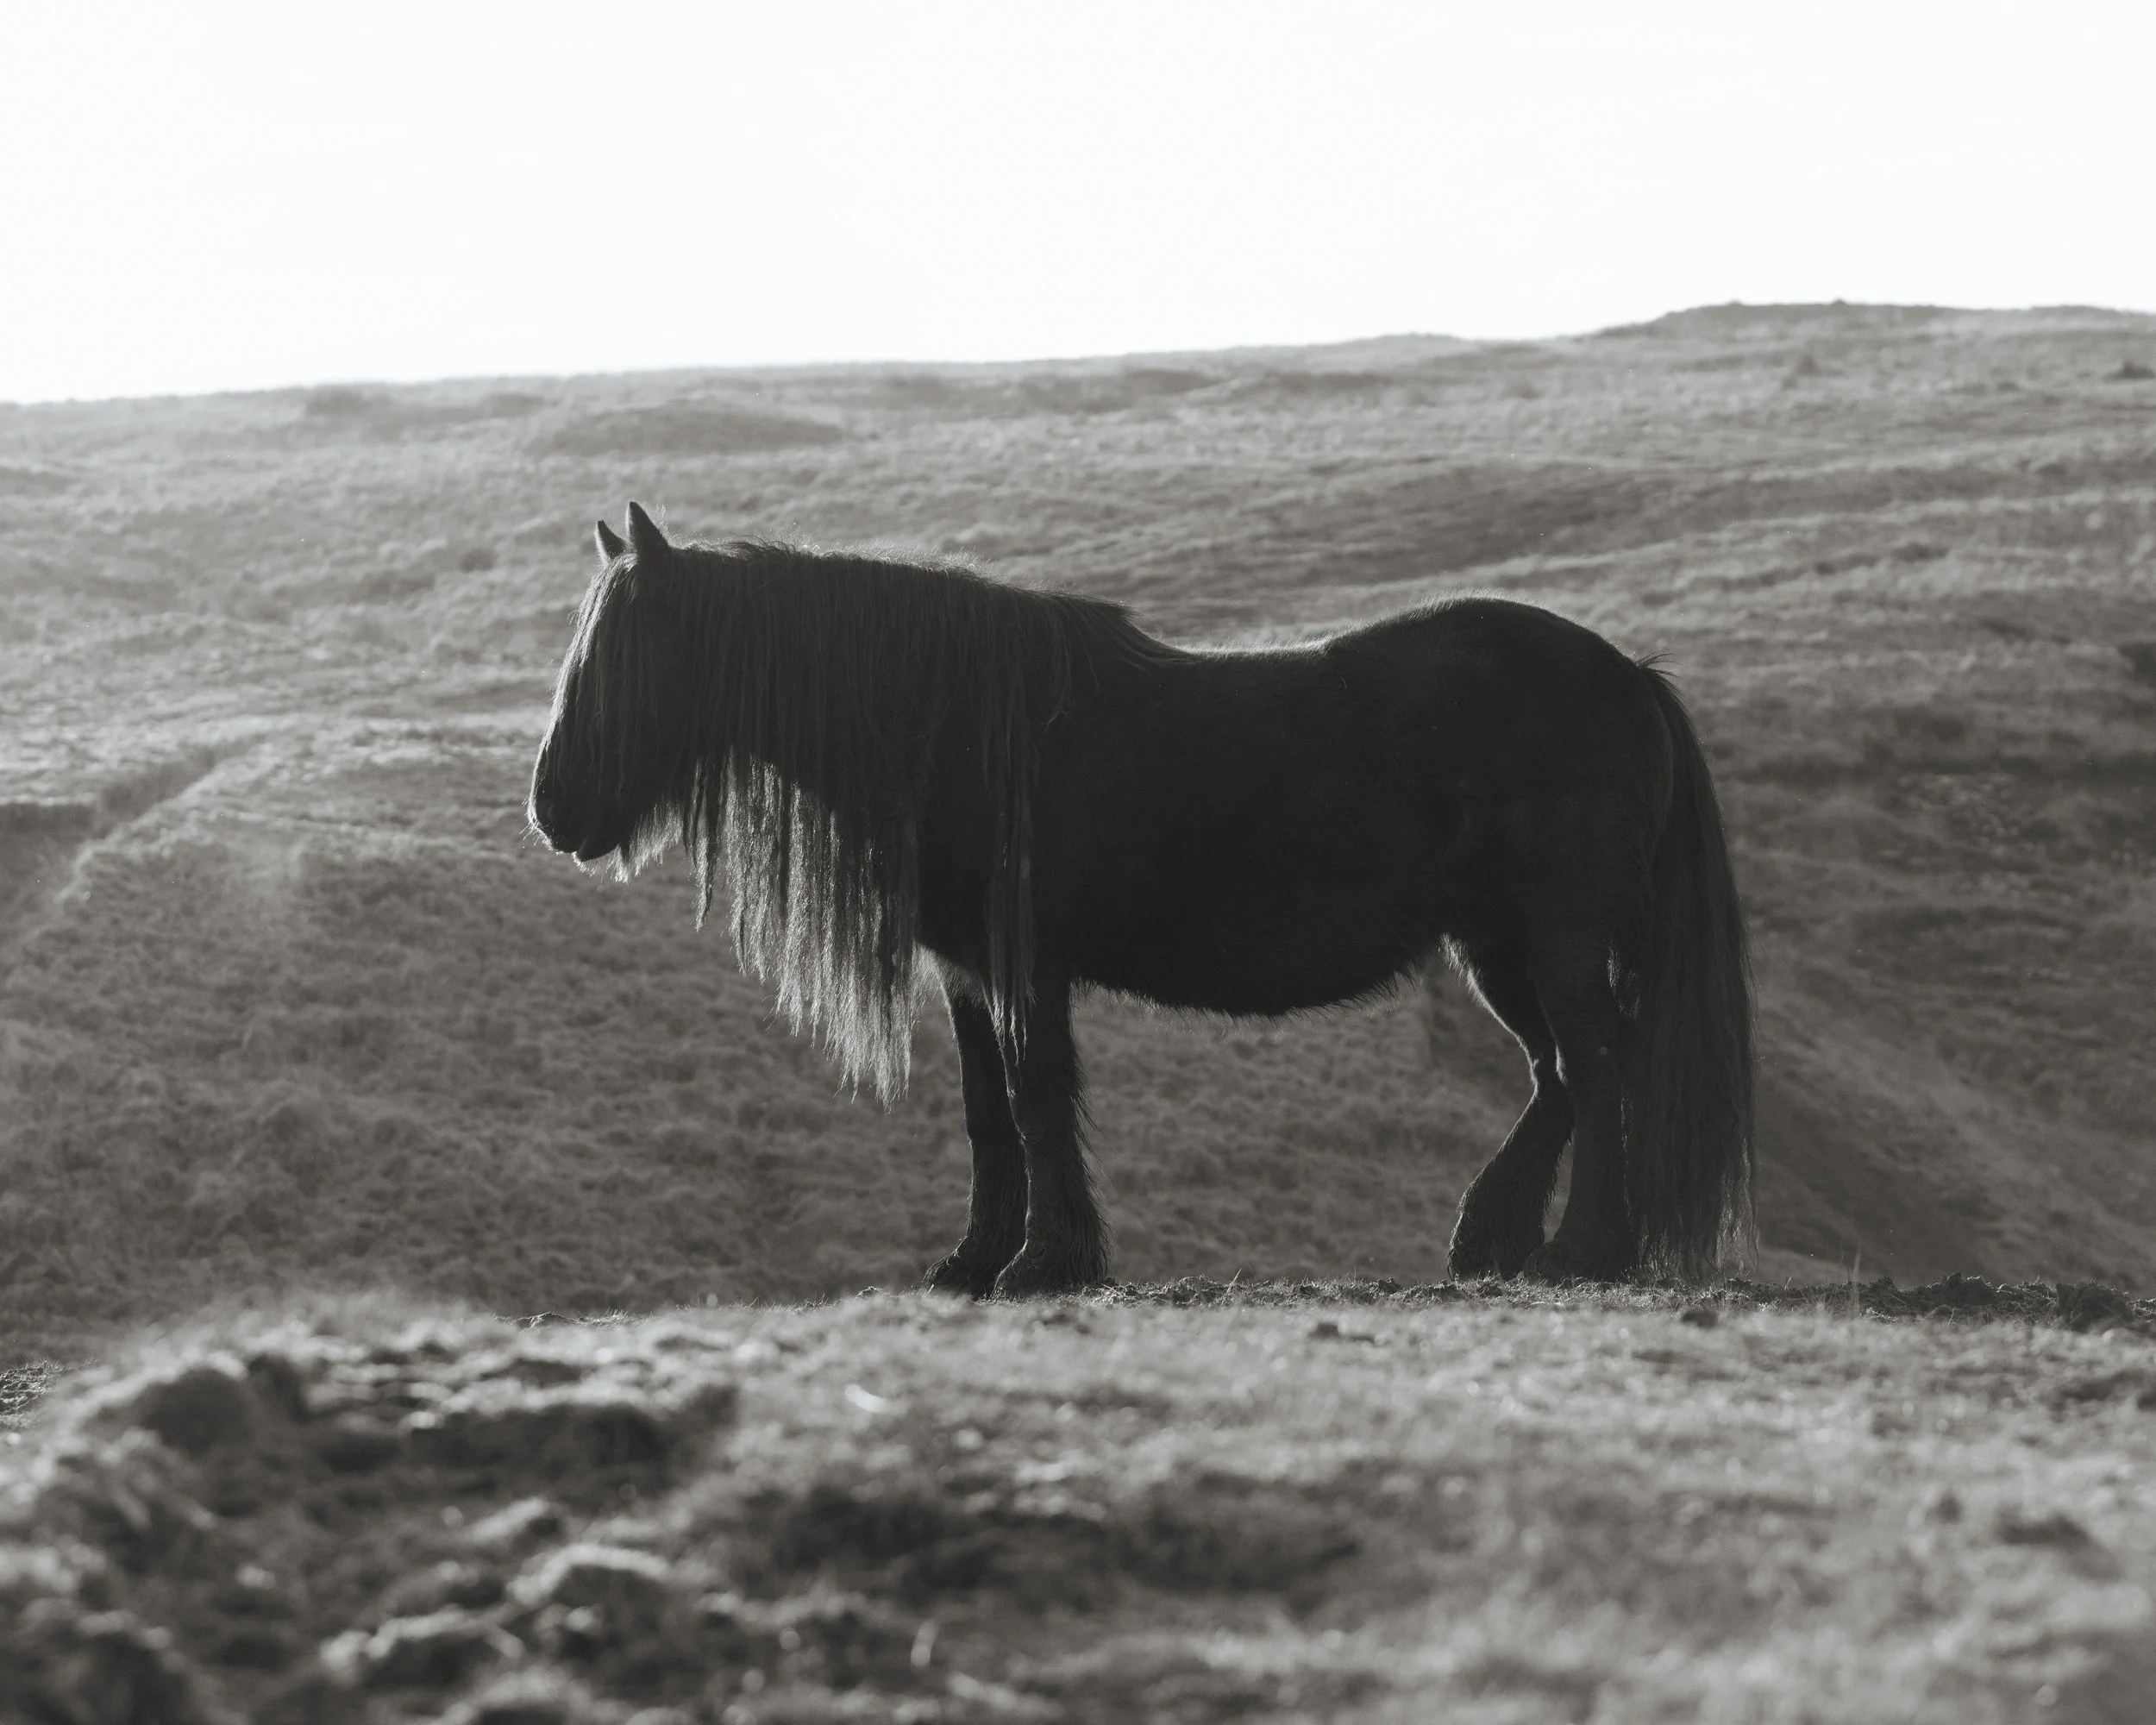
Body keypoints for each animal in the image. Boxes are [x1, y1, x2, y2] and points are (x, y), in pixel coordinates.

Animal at [530, 502, 1754, 1296]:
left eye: (625, 657)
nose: (553, 807)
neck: (948, 723)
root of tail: (1630, 673)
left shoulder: (1027, 962)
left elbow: (1036, 1096)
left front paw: (1045, 1260)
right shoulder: (969, 967)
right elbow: (986, 1110)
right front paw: (973, 1259)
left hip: (1556, 935)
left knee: (1596, 1064)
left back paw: (1581, 1250)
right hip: (1494, 943)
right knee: (1556, 1075)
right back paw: (1489, 1239)